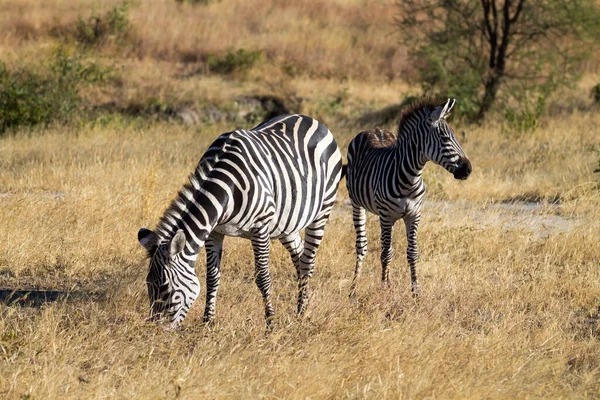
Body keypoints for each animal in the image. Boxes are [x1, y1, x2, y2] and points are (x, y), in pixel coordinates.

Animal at [137, 112, 342, 328]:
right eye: (148, 284)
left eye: (166, 288)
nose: (154, 330)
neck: (226, 187)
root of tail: (311, 119)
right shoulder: (215, 231)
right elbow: (212, 276)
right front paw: (207, 321)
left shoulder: (260, 228)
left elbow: (262, 278)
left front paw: (271, 324)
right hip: (286, 223)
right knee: (300, 255)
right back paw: (303, 306)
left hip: (322, 211)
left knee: (308, 262)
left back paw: (301, 313)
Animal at [344, 97, 472, 296]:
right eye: (445, 138)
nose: (468, 169)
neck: (410, 178)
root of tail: (374, 129)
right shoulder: (386, 216)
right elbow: (385, 254)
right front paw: (383, 289)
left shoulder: (414, 214)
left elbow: (412, 252)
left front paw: (415, 292)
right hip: (357, 203)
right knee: (363, 245)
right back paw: (353, 288)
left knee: (387, 246)